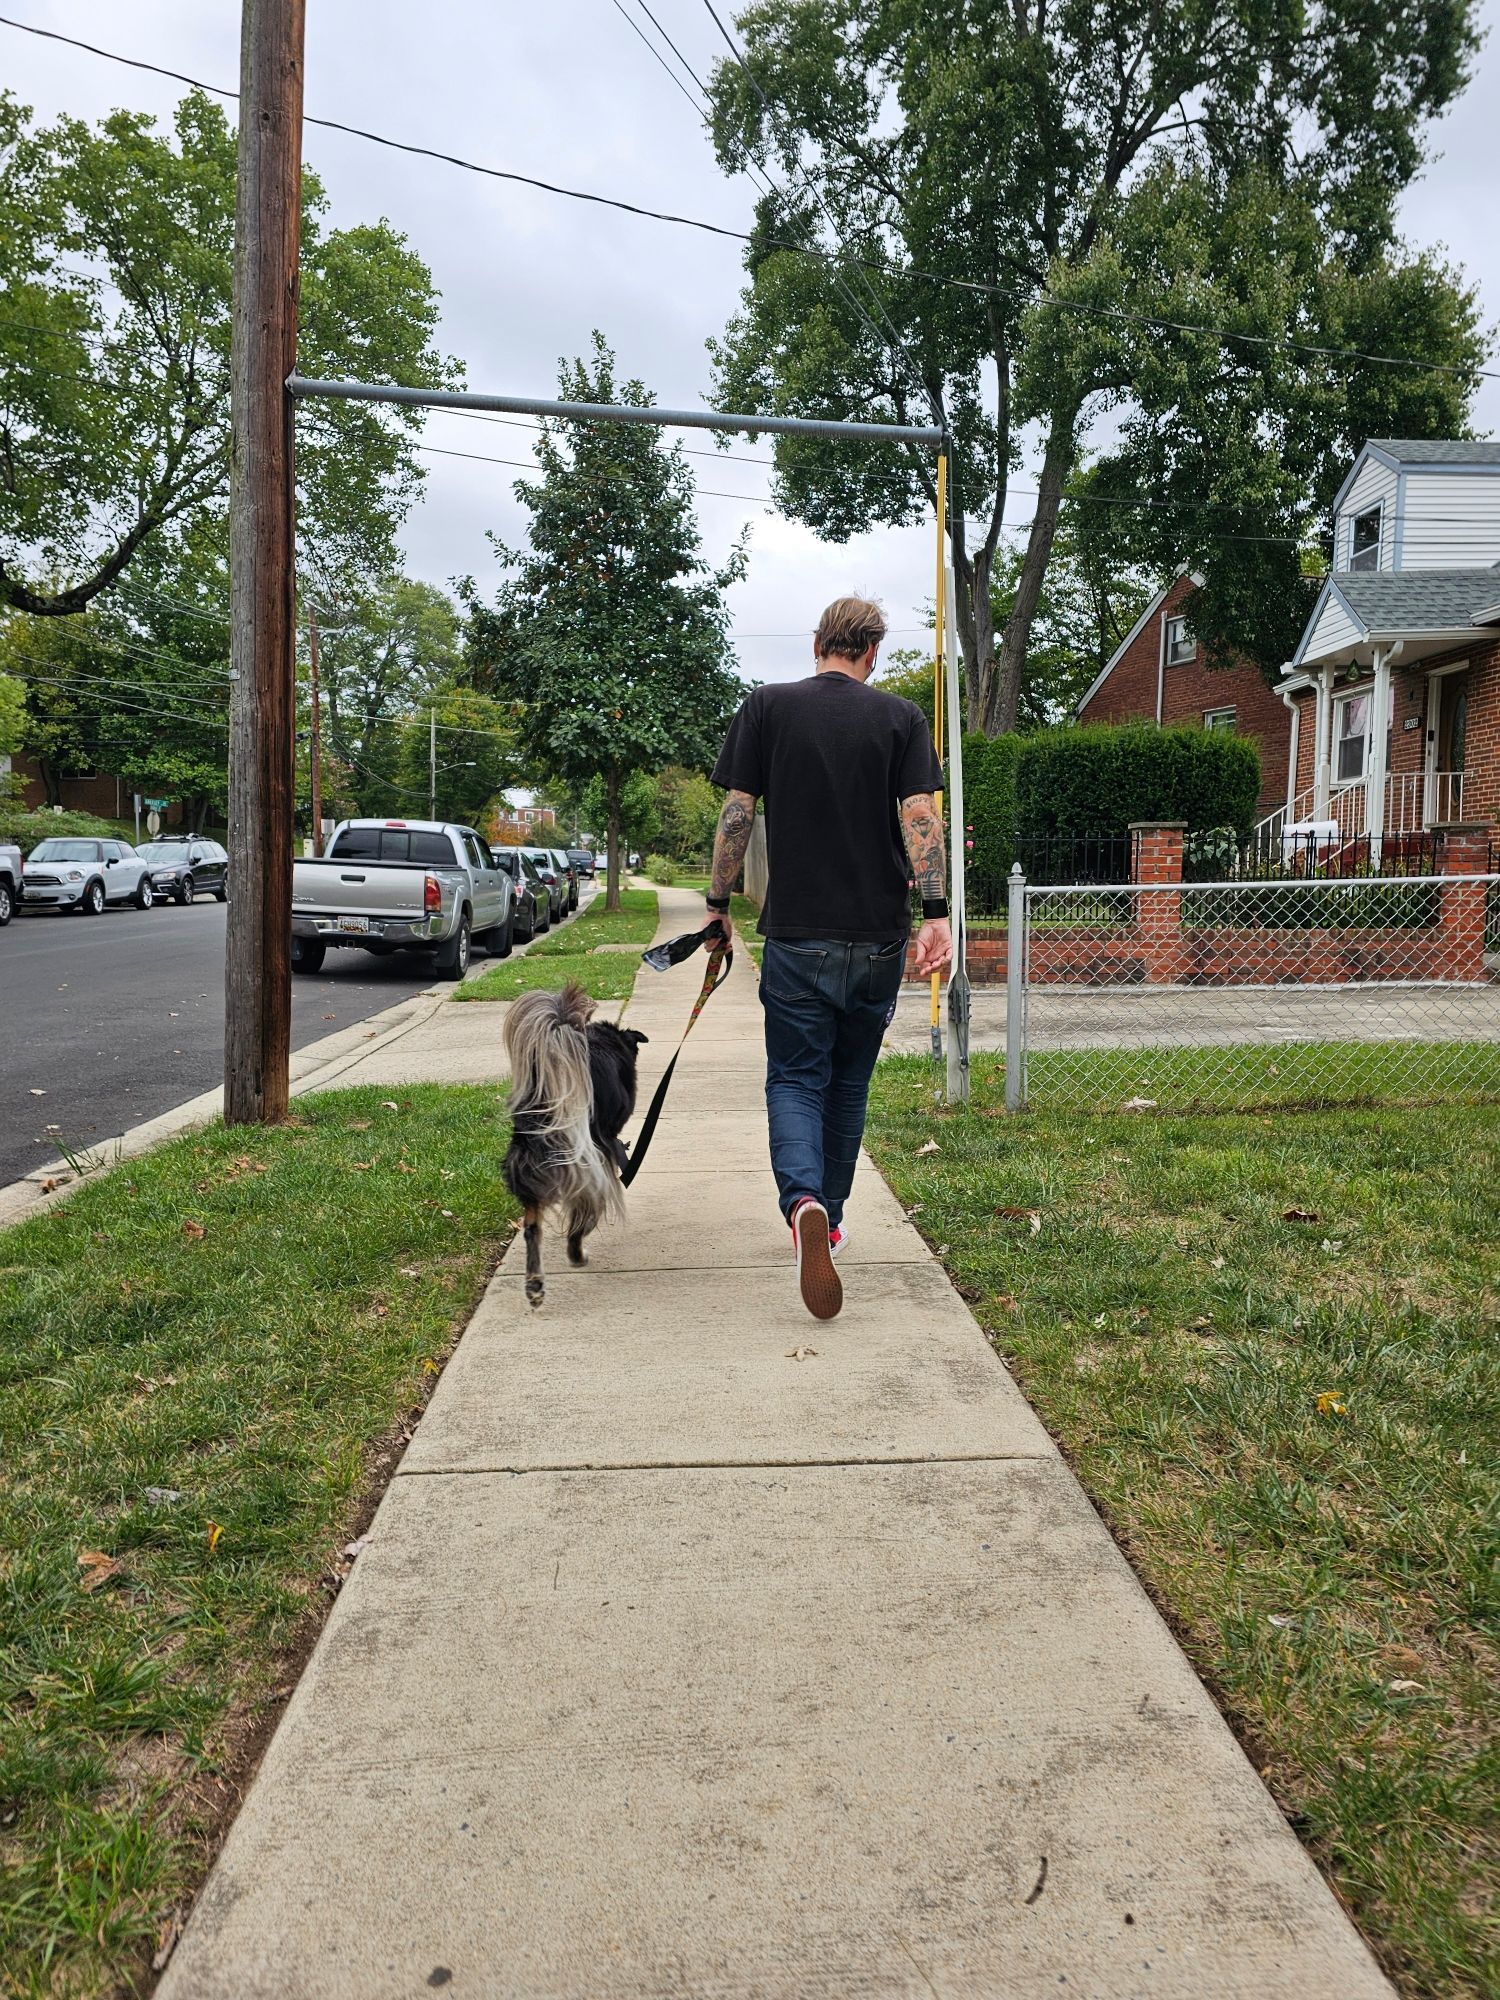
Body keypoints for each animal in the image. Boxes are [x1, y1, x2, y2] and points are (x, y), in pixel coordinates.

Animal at [506, 984, 648, 1312]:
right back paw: (576, 1254)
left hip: (530, 1164)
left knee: (531, 1227)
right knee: (582, 1214)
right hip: (587, 1165)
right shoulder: (605, 1146)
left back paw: (535, 1285)